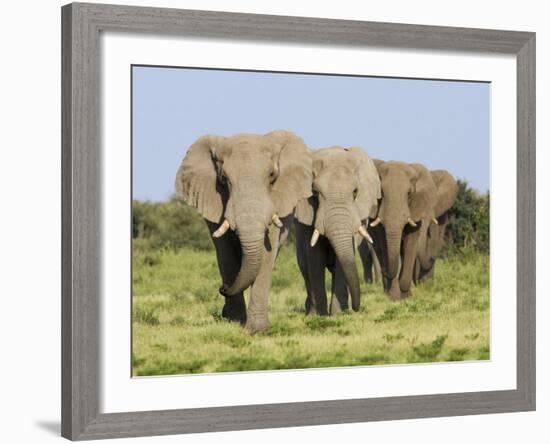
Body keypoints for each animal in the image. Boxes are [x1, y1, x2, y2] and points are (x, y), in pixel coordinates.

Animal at [177, 130, 314, 332]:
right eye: (224, 178)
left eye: (272, 175)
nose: (222, 288)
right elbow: (225, 253)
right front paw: (234, 322)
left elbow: (266, 255)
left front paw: (257, 329)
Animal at [296, 147, 382, 314]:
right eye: (315, 193)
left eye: (355, 192)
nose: (356, 308)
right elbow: (315, 256)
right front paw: (319, 315)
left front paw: (339, 314)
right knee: (304, 267)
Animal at [370, 160, 440, 302]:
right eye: (382, 193)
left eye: (409, 194)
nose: (385, 271)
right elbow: (385, 244)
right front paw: (394, 297)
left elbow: (410, 244)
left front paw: (406, 294)